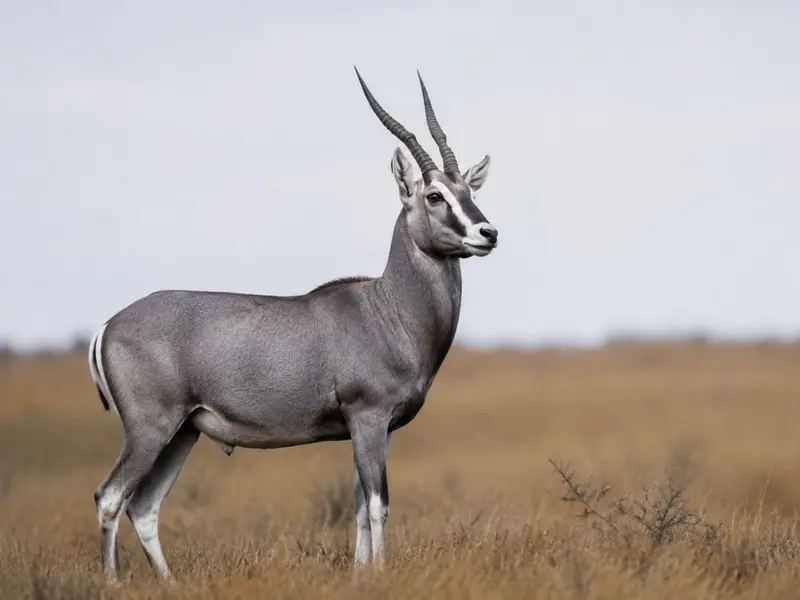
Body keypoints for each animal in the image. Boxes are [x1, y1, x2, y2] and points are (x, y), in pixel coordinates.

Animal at [87, 66, 499, 583]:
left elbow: (359, 506)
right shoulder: (367, 417)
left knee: (143, 505)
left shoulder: (378, 430)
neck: (387, 309)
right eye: (434, 194)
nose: (488, 233)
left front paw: (360, 574)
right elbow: (379, 504)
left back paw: (171, 584)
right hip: (150, 430)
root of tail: (109, 325)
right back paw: (114, 583)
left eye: (470, 192)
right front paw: (379, 574)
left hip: (181, 433)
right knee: (110, 497)